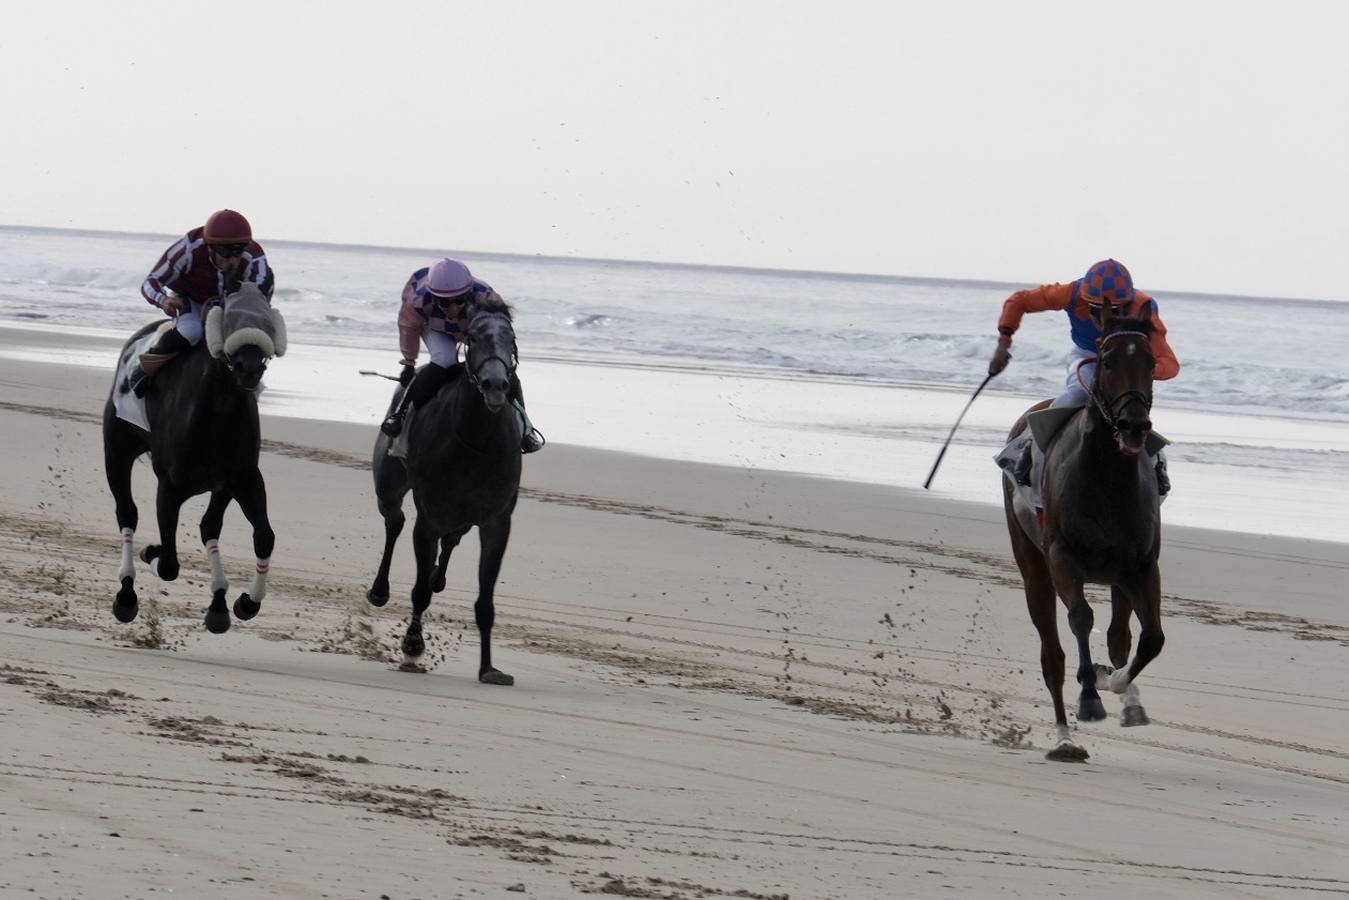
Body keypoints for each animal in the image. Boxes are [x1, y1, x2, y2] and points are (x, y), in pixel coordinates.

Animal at [104, 287, 284, 634]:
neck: (217, 411)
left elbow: (263, 536)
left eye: (266, 307)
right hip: (116, 449)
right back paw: (126, 594)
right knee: (126, 512)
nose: (249, 368)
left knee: (209, 525)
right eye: (227, 307)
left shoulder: (239, 479)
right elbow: (169, 565)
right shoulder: (170, 486)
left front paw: (245, 602)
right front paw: (152, 552)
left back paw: (218, 602)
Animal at [372, 295, 523, 682]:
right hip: (388, 486)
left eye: (511, 339)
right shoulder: (429, 517)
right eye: (473, 338)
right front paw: (412, 647)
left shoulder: (497, 521)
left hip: (463, 516)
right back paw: (379, 590)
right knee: (394, 522)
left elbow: (485, 600)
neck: (476, 441)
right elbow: (420, 591)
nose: (496, 385)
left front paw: (489, 668)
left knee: (451, 539)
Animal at [1009, 302, 1165, 761]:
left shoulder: (1141, 567)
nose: (1134, 426)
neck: (1107, 479)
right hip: (1032, 566)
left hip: (1117, 577)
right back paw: (1065, 738)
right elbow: (1080, 618)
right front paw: (1091, 697)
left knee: (1119, 636)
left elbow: (1149, 639)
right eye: (1108, 360)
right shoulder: (1062, 558)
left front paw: (1114, 681)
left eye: (1151, 362)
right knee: (1052, 655)